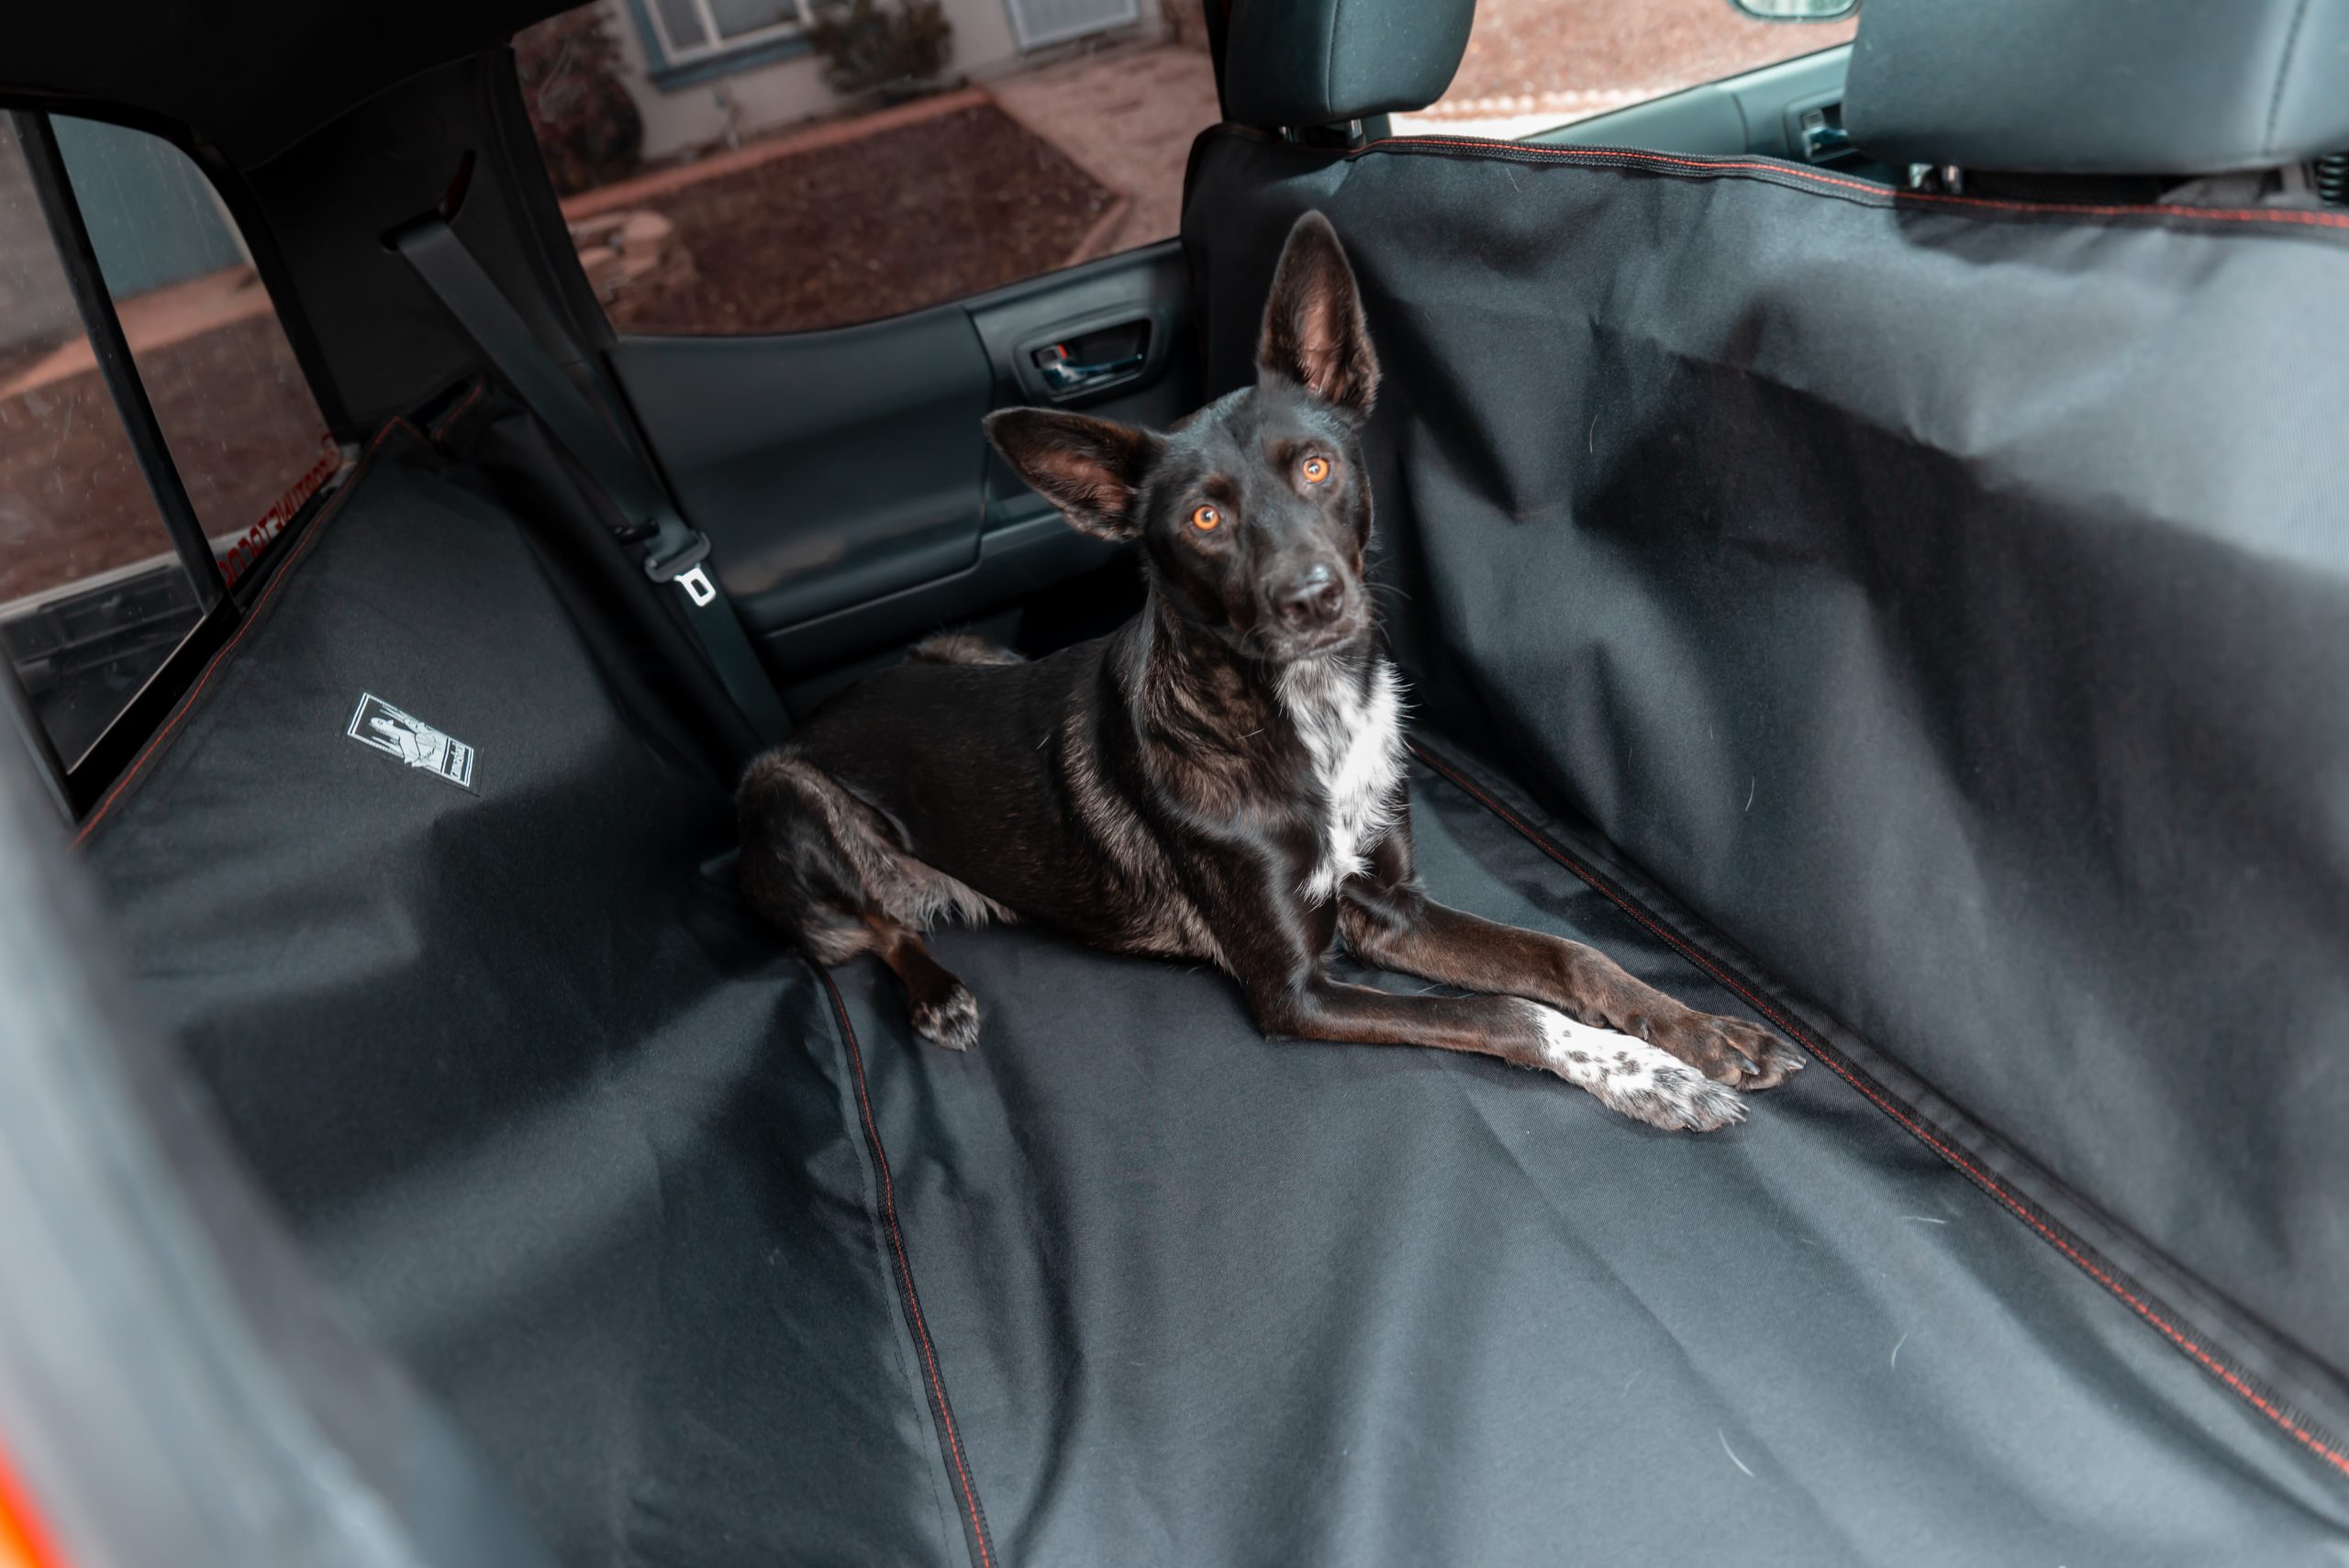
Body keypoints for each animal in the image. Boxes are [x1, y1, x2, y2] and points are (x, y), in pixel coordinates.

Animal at [741, 215, 1804, 1131]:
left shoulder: (1389, 909)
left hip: (967, 645)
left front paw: (1700, 1034)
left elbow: (1566, 956)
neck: (1303, 715)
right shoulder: (1297, 990)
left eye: (1317, 468)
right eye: (1205, 520)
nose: (1313, 599)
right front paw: (1651, 1076)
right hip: (784, 801)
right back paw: (938, 995)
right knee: (875, 926)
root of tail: (819, 715)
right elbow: (1505, 1012)